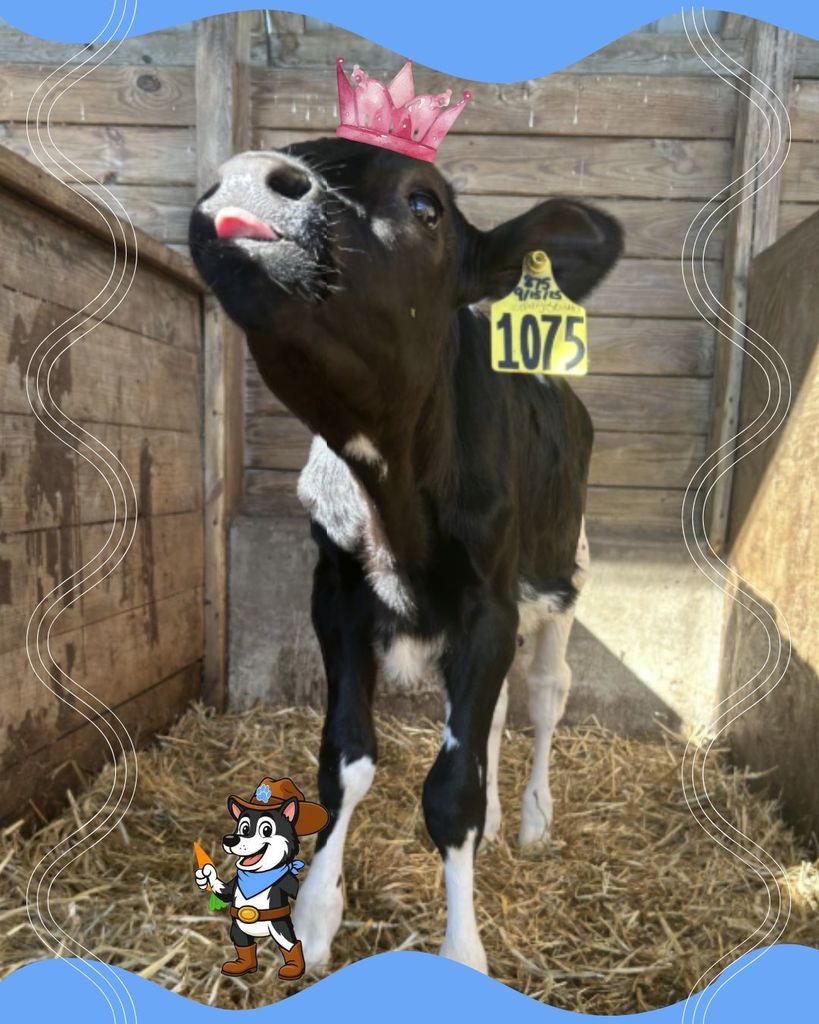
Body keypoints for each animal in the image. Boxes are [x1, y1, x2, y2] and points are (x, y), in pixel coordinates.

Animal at [189, 137, 622, 974]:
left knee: (544, 691)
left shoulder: (488, 605)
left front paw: (461, 953)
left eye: (426, 206)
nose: (247, 179)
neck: (397, 499)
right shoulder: (336, 597)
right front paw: (316, 911)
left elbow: (450, 793)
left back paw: (530, 819)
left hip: (566, 570)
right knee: (492, 713)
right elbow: (346, 761)